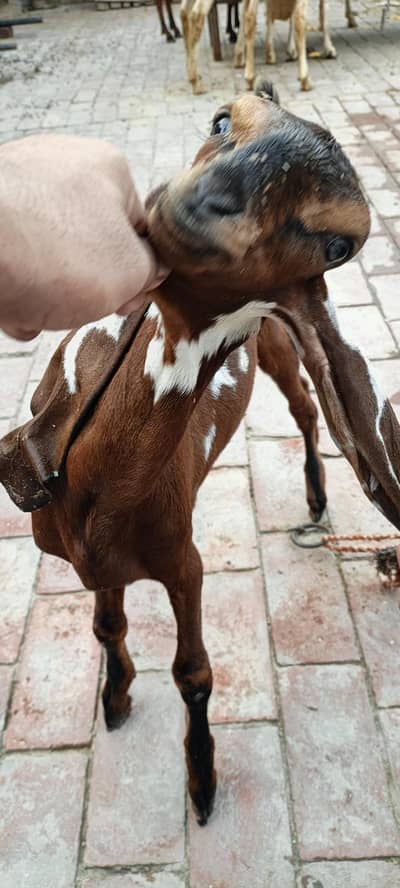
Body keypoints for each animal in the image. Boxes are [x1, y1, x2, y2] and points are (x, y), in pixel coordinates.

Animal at [3, 82, 400, 827]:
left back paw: (315, 500)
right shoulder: (90, 562)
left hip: (279, 343)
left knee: (306, 410)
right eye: (222, 121)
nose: (201, 206)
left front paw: (203, 781)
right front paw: (117, 697)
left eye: (337, 242)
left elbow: (193, 673)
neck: (98, 504)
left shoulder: (184, 562)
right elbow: (106, 624)